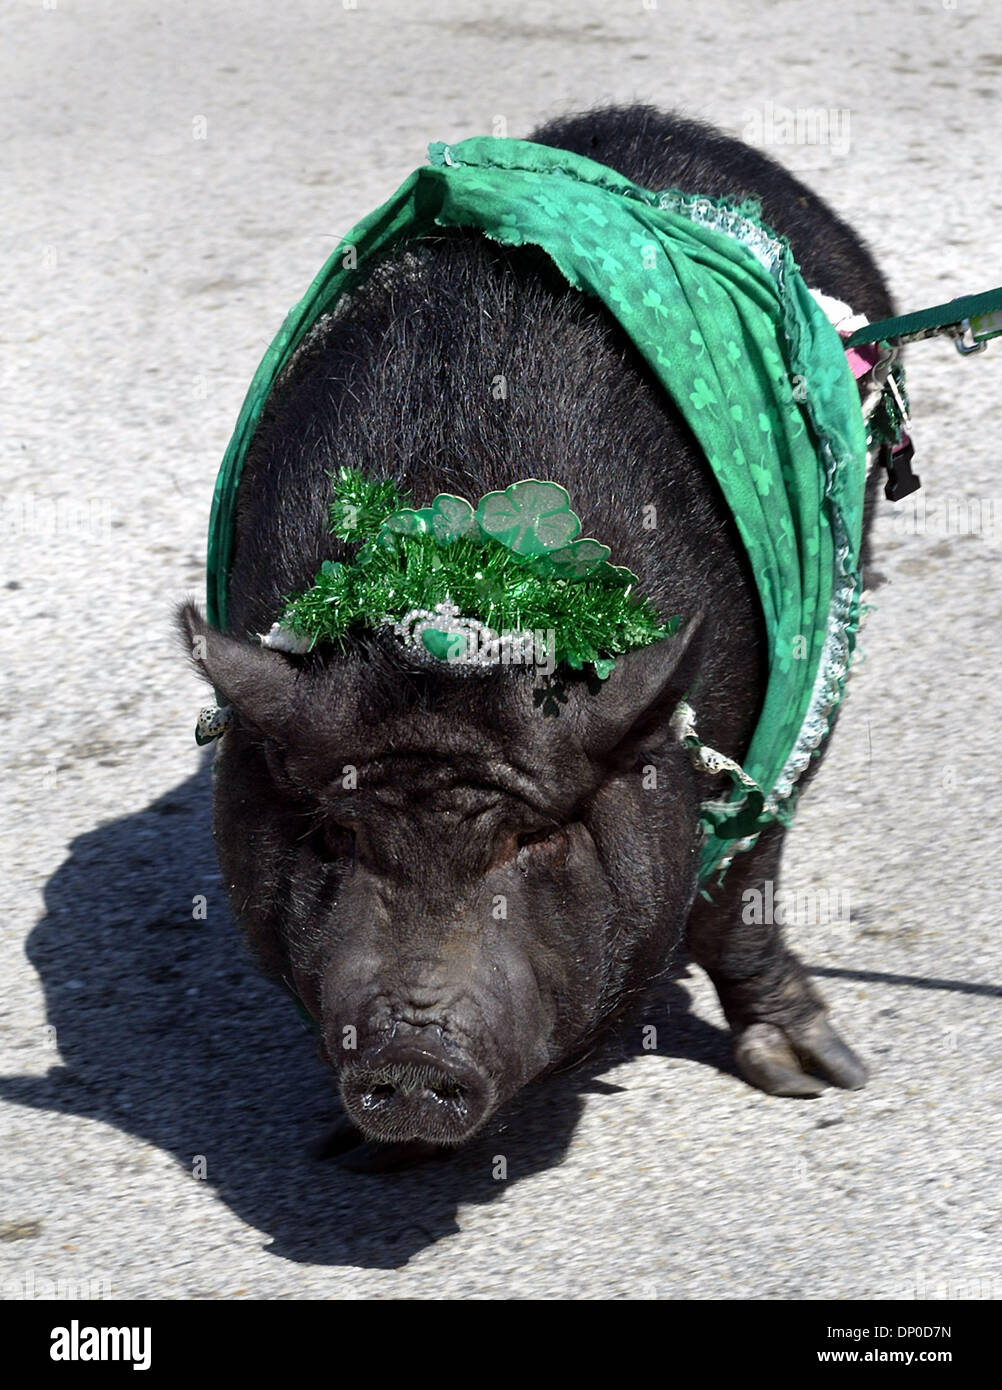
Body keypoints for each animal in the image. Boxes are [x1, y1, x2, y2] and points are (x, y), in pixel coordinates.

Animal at [182, 108, 900, 1167]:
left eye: (529, 839)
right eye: (339, 832)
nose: (411, 1059)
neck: (453, 603)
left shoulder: (783, 730)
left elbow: (738, 895)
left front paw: (819, 1077)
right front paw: (361, 1156)